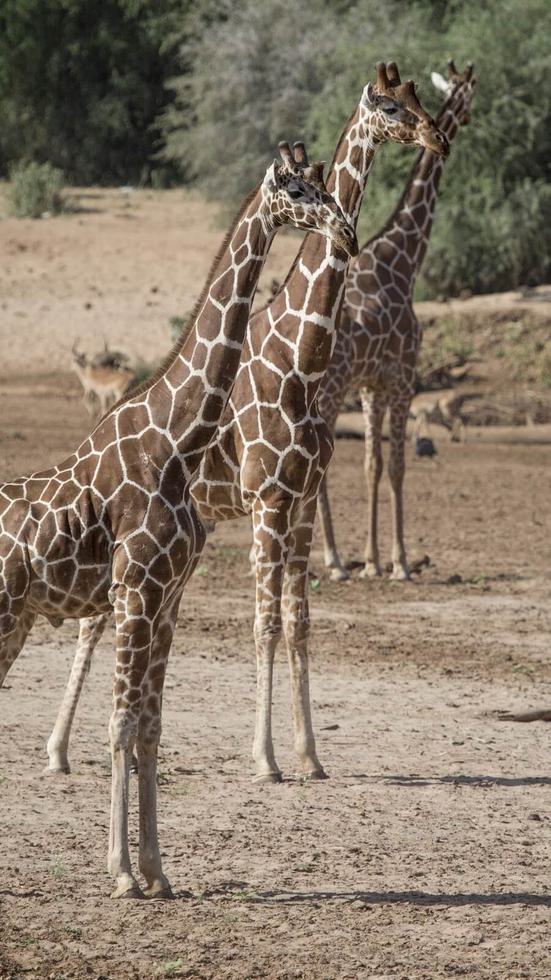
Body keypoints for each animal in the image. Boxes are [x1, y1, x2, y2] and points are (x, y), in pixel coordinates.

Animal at [0, 141, 356, 898]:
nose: (345, 230)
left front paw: (158, 873)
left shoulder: (168, 599)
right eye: (294, 189)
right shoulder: (135, 591)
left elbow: (150, 728)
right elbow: (119, 724)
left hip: (16, 618)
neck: (175, 439)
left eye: (320, 180)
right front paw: (120, 874)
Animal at [44, 62, 449, 785]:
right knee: (96, 620)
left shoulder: (299, 500)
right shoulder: (266, 499)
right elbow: (264, 624)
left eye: (419, 100)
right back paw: (58, 750)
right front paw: (264, 758)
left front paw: (310, 756)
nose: (436, 136)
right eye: (387, 106)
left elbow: (300, 620)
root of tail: (98, 428)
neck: (300, 356)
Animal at [317, 61, 476, 582]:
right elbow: (400, 466)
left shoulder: (373, 387)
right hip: (330, 390)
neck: (404, 261)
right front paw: (400, 562)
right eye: (469, 95)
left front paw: (372, 559)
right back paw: (331, 560)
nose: (443, 137)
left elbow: (373, 464)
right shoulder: (404, 378)